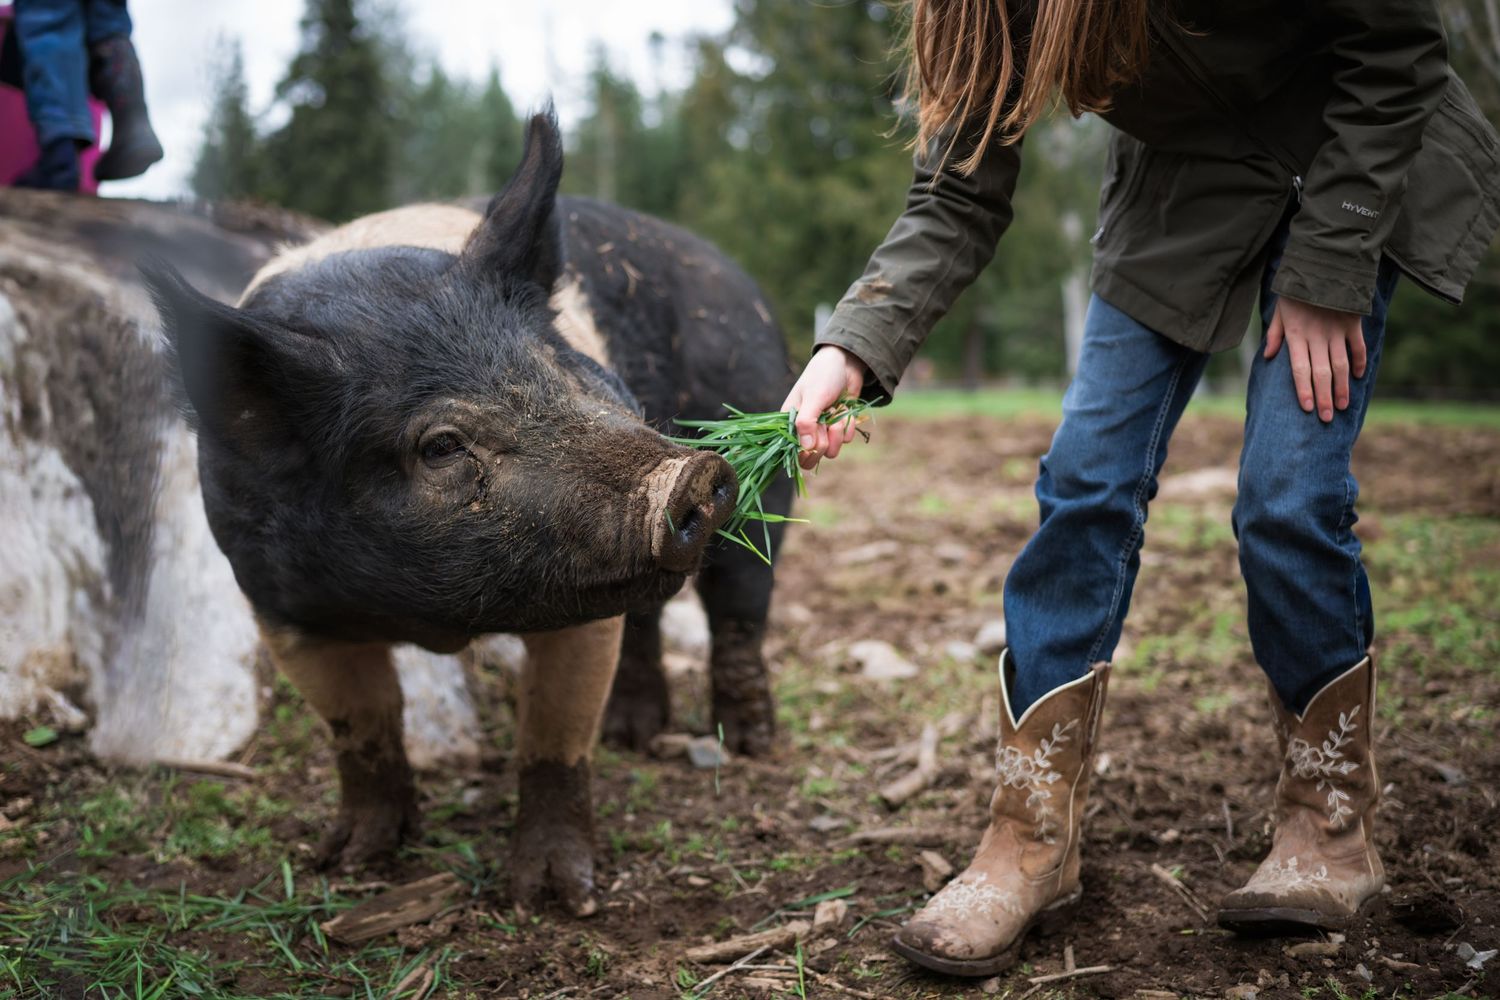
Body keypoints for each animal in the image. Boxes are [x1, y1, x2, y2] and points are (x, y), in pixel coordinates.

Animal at [142, 111, 793, 912]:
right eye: (441, 445)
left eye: (567, 371)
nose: (690, 472)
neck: (432, 617)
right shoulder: (280, 608)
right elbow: (360, 729)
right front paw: (350, 861)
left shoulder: (577, 611)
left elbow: (553, 739)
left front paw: (553, 898)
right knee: (649, 621)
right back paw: (630, 736)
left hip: (760, 483)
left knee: (739, 611)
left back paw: (751, 744)